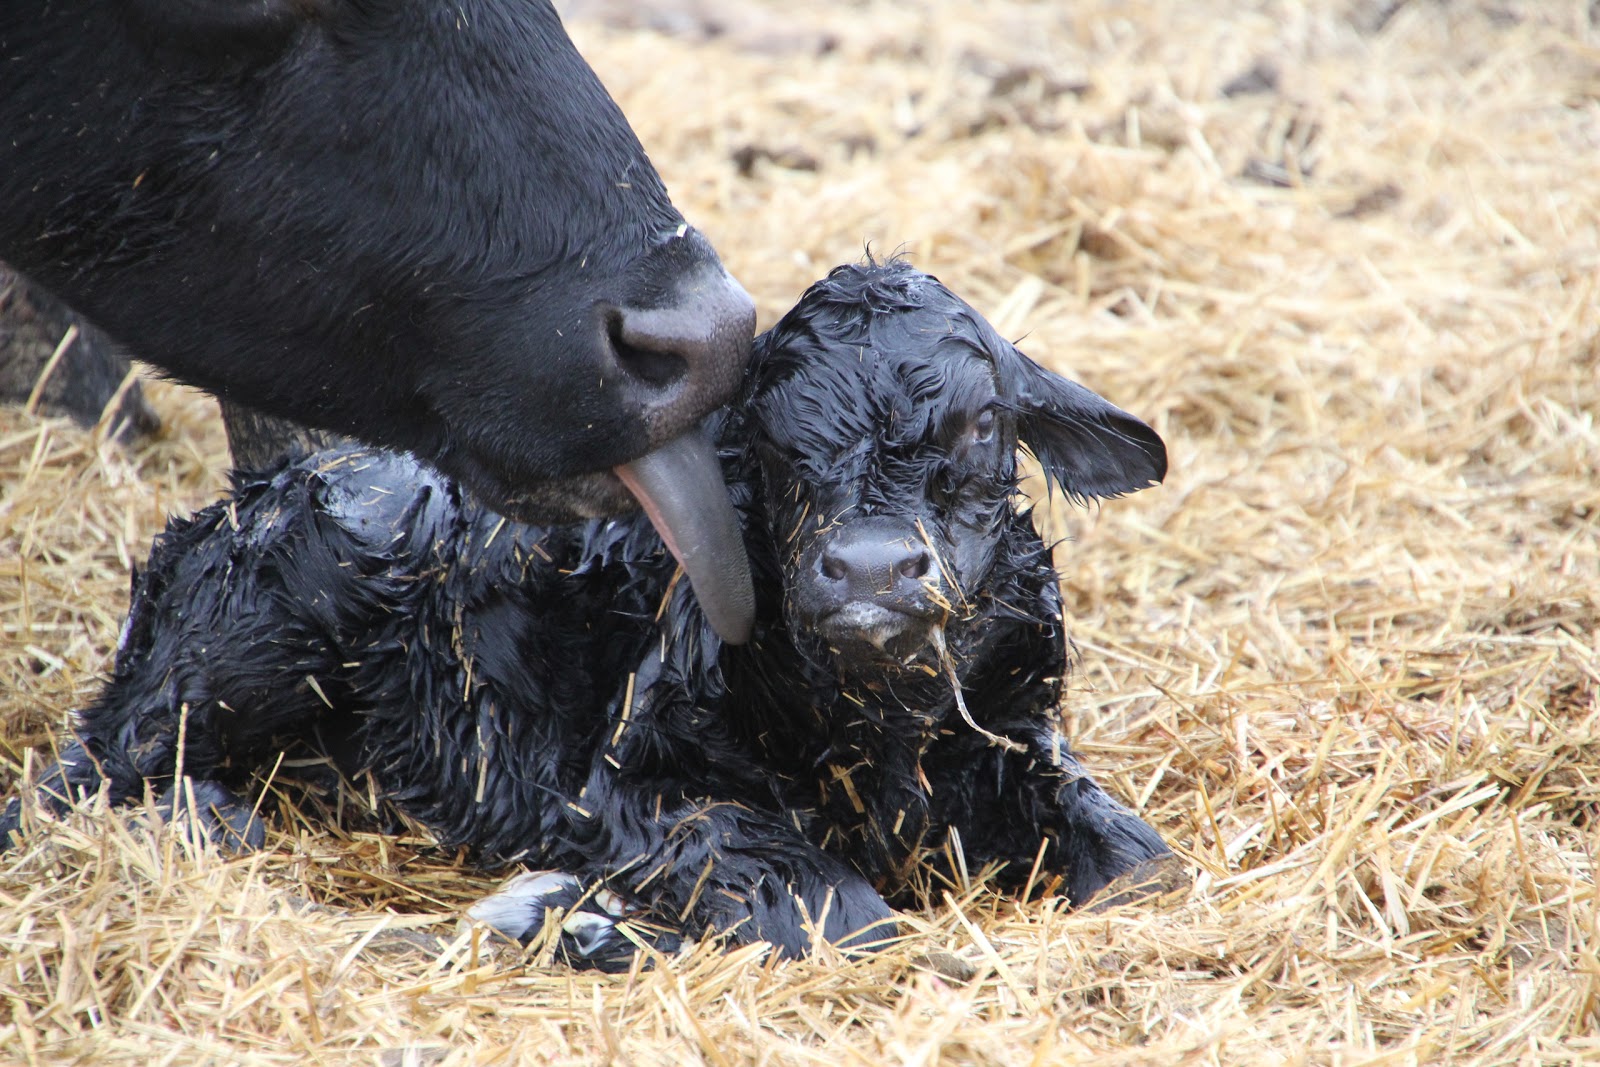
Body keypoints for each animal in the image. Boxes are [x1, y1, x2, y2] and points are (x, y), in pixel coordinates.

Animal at [0, 260, 1174, 967]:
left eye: (983, 424)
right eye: (770, 434)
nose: (874, 570)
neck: (879, 729)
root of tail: (255, 495)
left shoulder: (1021, 736)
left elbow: (1146, 862)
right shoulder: (633, 782)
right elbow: (848, 917)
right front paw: (572, 914)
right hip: (245, 644)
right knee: (78, 780)